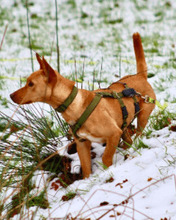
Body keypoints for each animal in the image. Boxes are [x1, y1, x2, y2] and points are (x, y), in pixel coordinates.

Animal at [10, 33, 155, 180]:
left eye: (31, 84)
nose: (11, 95)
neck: (75, 105)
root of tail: (140, 76)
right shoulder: (82, 144)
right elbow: (86, 169)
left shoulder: (113, 134)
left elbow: (106, 158)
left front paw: (107, 172)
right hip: (123, 126)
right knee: (128, 140)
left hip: (142, 117)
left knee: (138, 135)